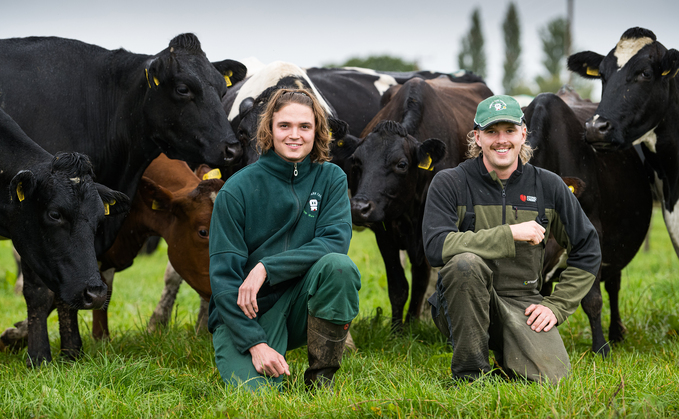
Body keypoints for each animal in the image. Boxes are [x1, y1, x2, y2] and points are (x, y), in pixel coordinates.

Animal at [0, 107, 130, 364]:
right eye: (54, 214)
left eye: (100, 219)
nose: (96, 294)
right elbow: (37, 293)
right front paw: (38, 358)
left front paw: (71, 353)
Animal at [348, 78, 492, 328]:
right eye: (357, 162)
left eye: (401, 164)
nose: (359, 208)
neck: (409, 213)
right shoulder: (383, 233)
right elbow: (399, 286)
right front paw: (397, 329)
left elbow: (421, 282)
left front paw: (412, 325)